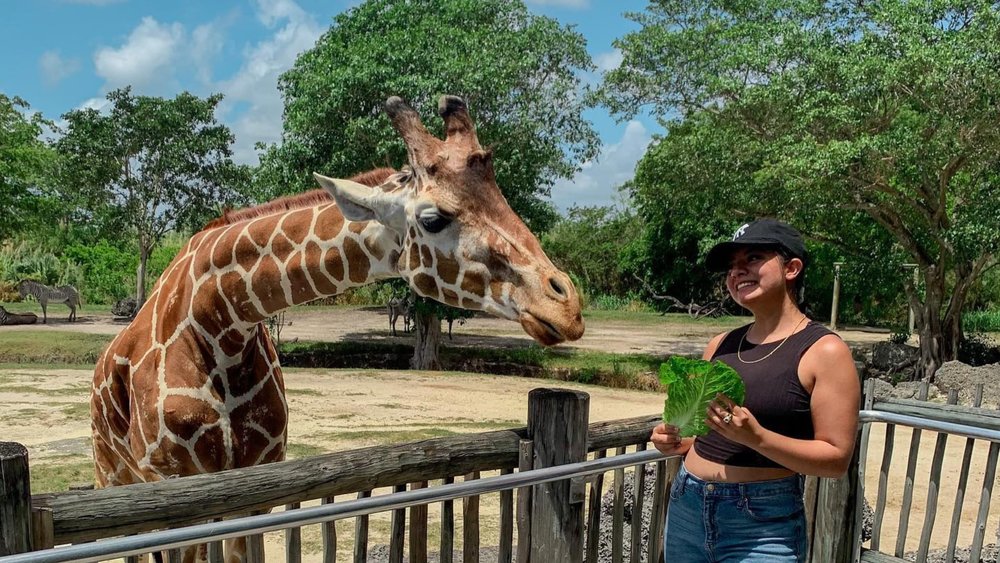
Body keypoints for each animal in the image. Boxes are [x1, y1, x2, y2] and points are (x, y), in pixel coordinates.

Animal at [90, 95, 584, 563]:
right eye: (433, 219)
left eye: (502, 198)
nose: (567, 306)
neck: (220, 322)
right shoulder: (172, 488)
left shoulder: (252, 486)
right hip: (112, 474)